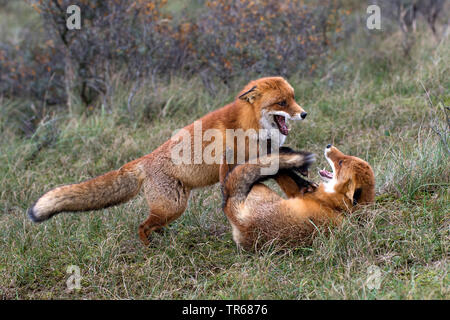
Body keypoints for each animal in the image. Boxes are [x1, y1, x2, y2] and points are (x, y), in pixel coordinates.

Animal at [27, 77, 310, 245]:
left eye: (294, 98)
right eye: (282, 102)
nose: (304, 114)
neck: (251, 126)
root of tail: (143, 160)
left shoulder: (267, 159)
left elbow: (289, 178)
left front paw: (305, 189)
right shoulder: (239, 163)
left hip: (170, 209)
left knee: (151, 225)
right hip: (173, 207)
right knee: (142, 227)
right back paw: (149, 248)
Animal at [220, 145, 374, 250]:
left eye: (341, 162)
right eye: (346, 157)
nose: (329, 146)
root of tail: (241, 221)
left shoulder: (297, 193)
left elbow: (284, 175)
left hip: (259, 188)